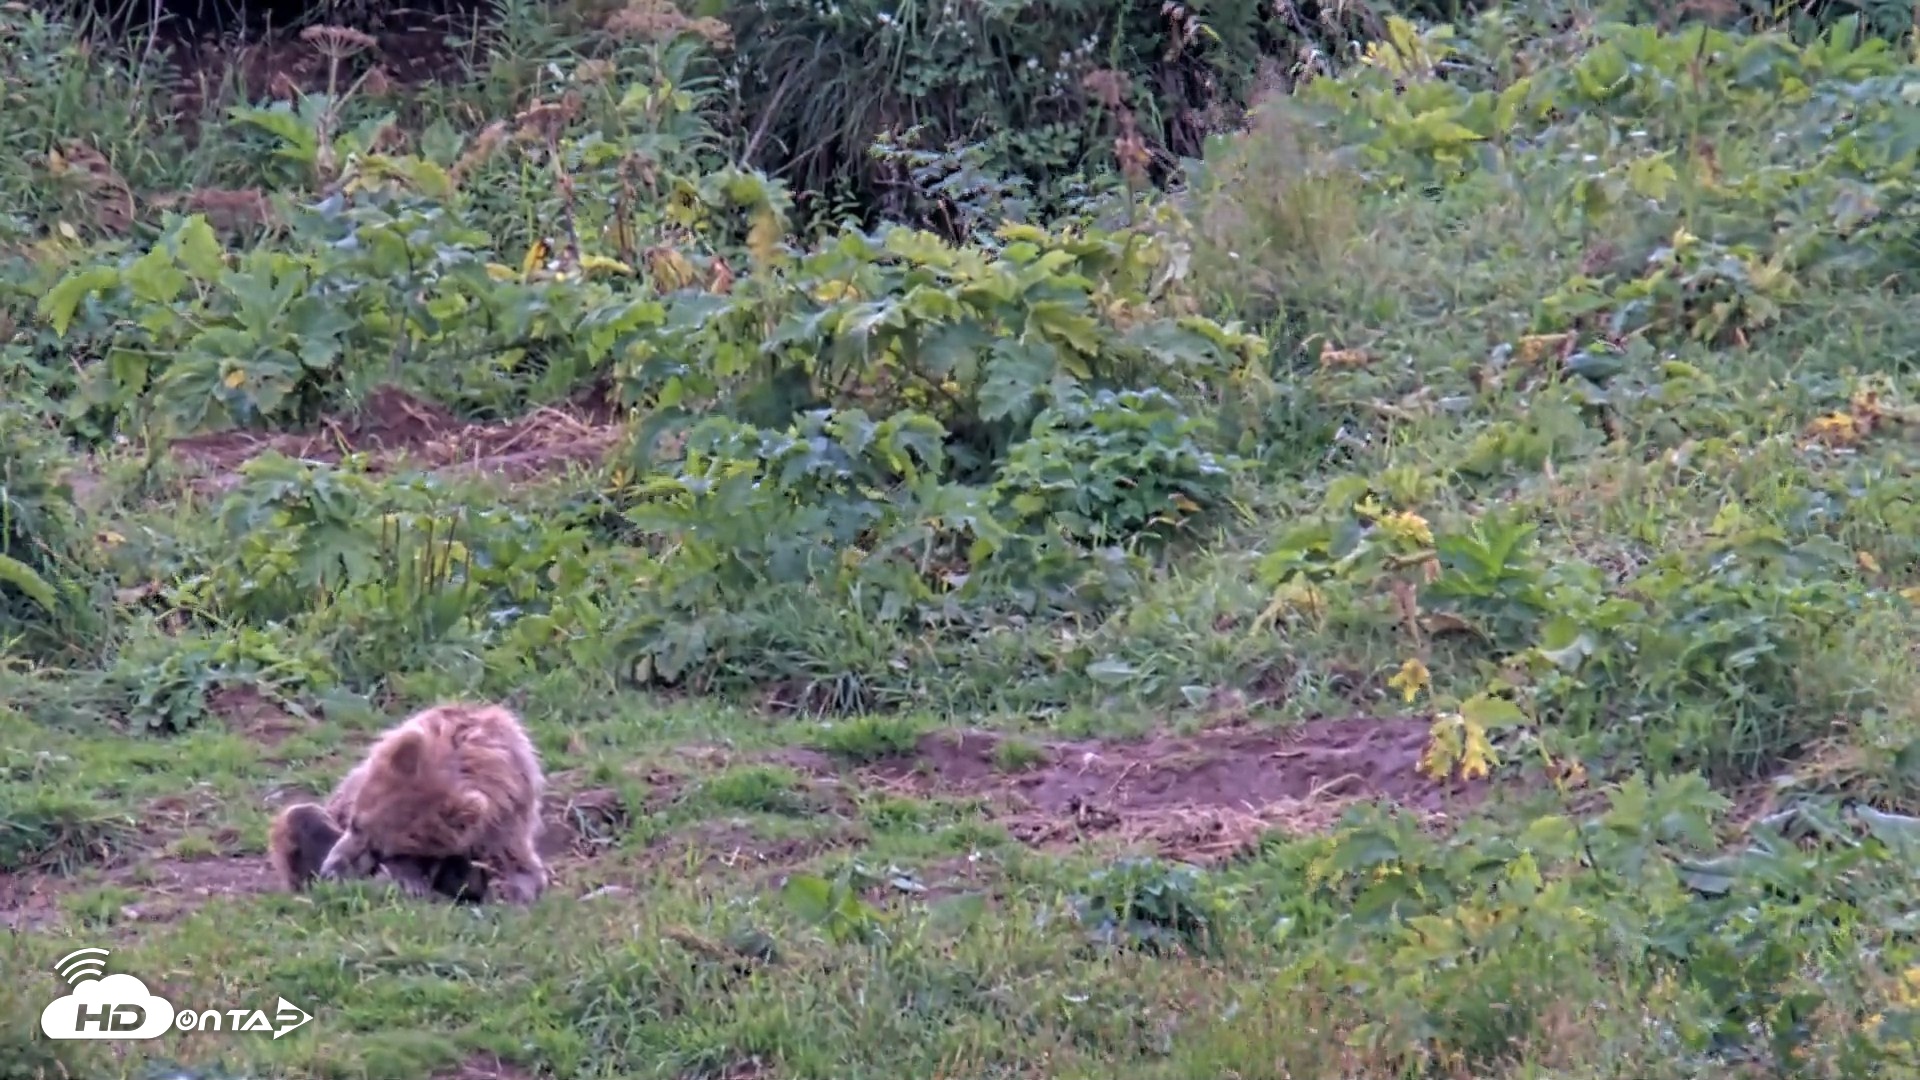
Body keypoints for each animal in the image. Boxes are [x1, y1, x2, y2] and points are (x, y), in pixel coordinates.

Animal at [269, 702, 548, 905]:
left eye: (384, 850)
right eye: (355, 824)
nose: (332, 871)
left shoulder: (506, 817)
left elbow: (517, 867)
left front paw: (505, 889)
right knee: (301, 816)